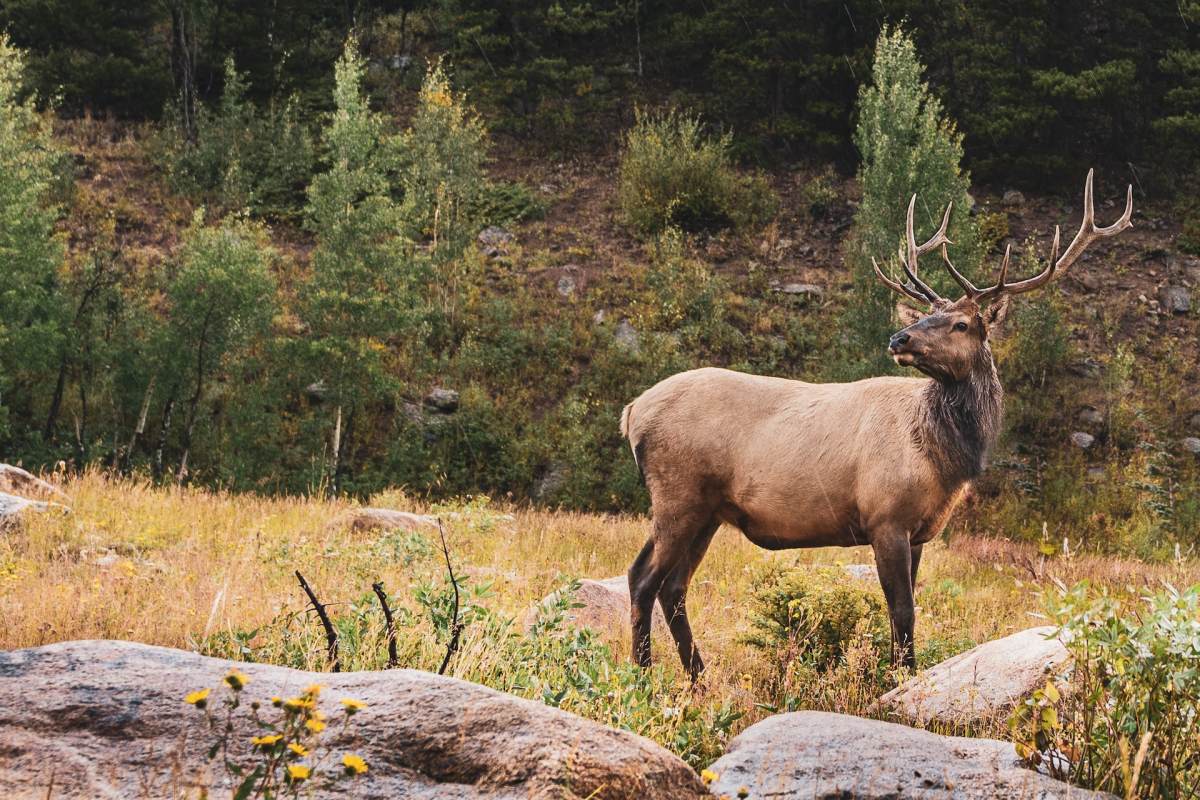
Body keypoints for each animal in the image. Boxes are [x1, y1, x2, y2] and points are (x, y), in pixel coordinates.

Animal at [624, 169, 1128, 676]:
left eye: (961, 324)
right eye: (929, 315)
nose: (899, 337)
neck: (943, 459)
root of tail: (632, 412)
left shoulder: (919, 530)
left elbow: (901, 611)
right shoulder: (885, 516)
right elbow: (903, 611)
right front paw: (902, 678)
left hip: (708, 510)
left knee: (674, 587)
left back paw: (698, 678)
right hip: (678, 493)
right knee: (642, 577)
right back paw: (644, 672)